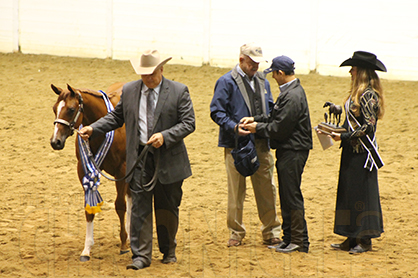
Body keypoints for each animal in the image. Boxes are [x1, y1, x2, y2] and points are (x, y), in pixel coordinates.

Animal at [50, 82, 132, 260]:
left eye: (71, 109)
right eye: (54, 108)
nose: (55, 142)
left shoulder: (122, 171)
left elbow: (120, 205)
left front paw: (124, 243)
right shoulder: (83, 169)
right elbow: (89, 208)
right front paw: (87, 249)